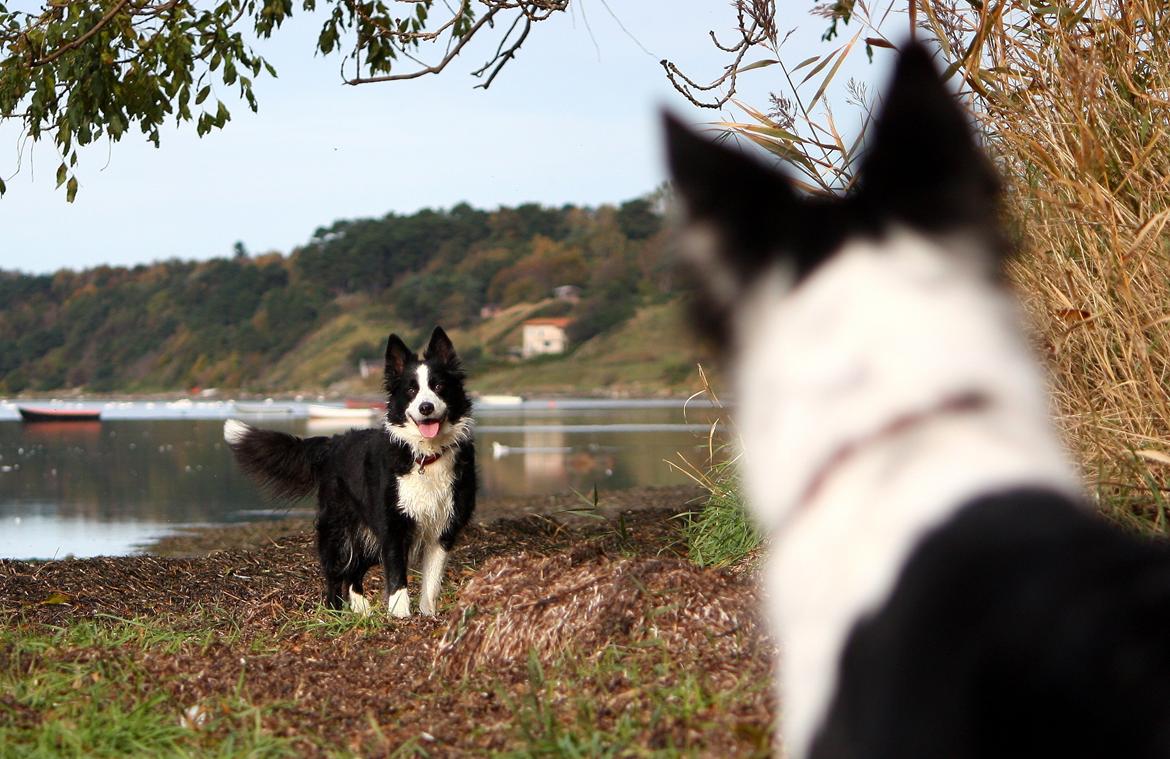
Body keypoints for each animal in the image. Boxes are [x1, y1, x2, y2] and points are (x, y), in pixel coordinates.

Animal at [225, 325, 472, 617]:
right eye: (411, 390)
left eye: (439, 386)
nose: (426, 407)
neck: (424, 456)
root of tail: (334, 441)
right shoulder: (392, 527)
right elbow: (397, 577)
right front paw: (400, 615)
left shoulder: (443, 529)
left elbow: (431, 583)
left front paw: (427, 615)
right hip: (336, 530)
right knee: (335, 575)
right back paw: (335, 613)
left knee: (355, 572)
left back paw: (361, 609)